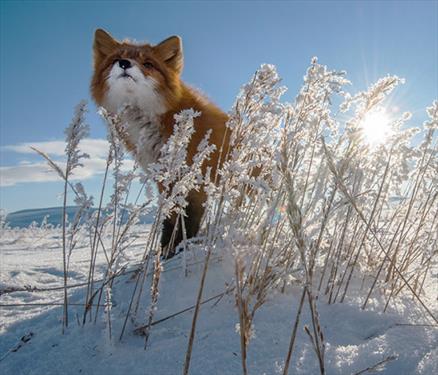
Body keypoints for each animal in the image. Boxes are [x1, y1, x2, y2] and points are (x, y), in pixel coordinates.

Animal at [91, 29, 231, 258]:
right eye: (115, 59)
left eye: (147, 64)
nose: (124, 63)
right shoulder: (163, 176)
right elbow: (169, 218)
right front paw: (164, 252)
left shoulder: (195, 179)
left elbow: (187, 220)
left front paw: (178, 250)